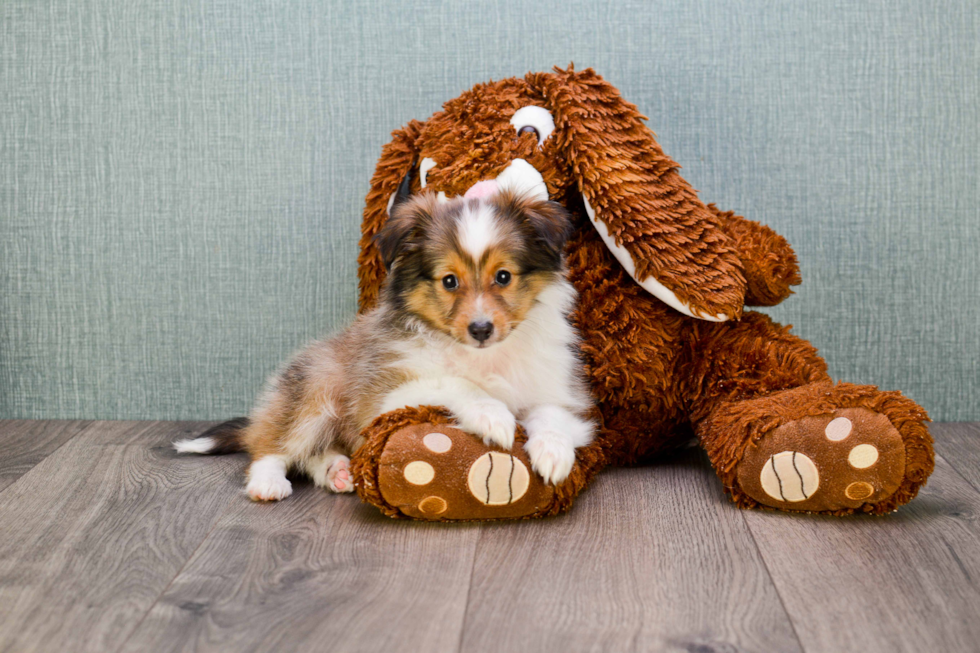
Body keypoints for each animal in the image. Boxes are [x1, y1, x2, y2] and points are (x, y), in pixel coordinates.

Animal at [172, 186, 592, 502]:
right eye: (449, 281)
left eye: (503, 276)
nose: (481, 329)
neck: (482, 357)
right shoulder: (383, 399)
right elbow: (454, 382)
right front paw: (492, 415)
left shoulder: (558, 392)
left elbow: (552, 414)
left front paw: (553, 452)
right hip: (314, 388)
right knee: (273, 445)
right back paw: (268, 482)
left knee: (315, 453)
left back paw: (337, 471)